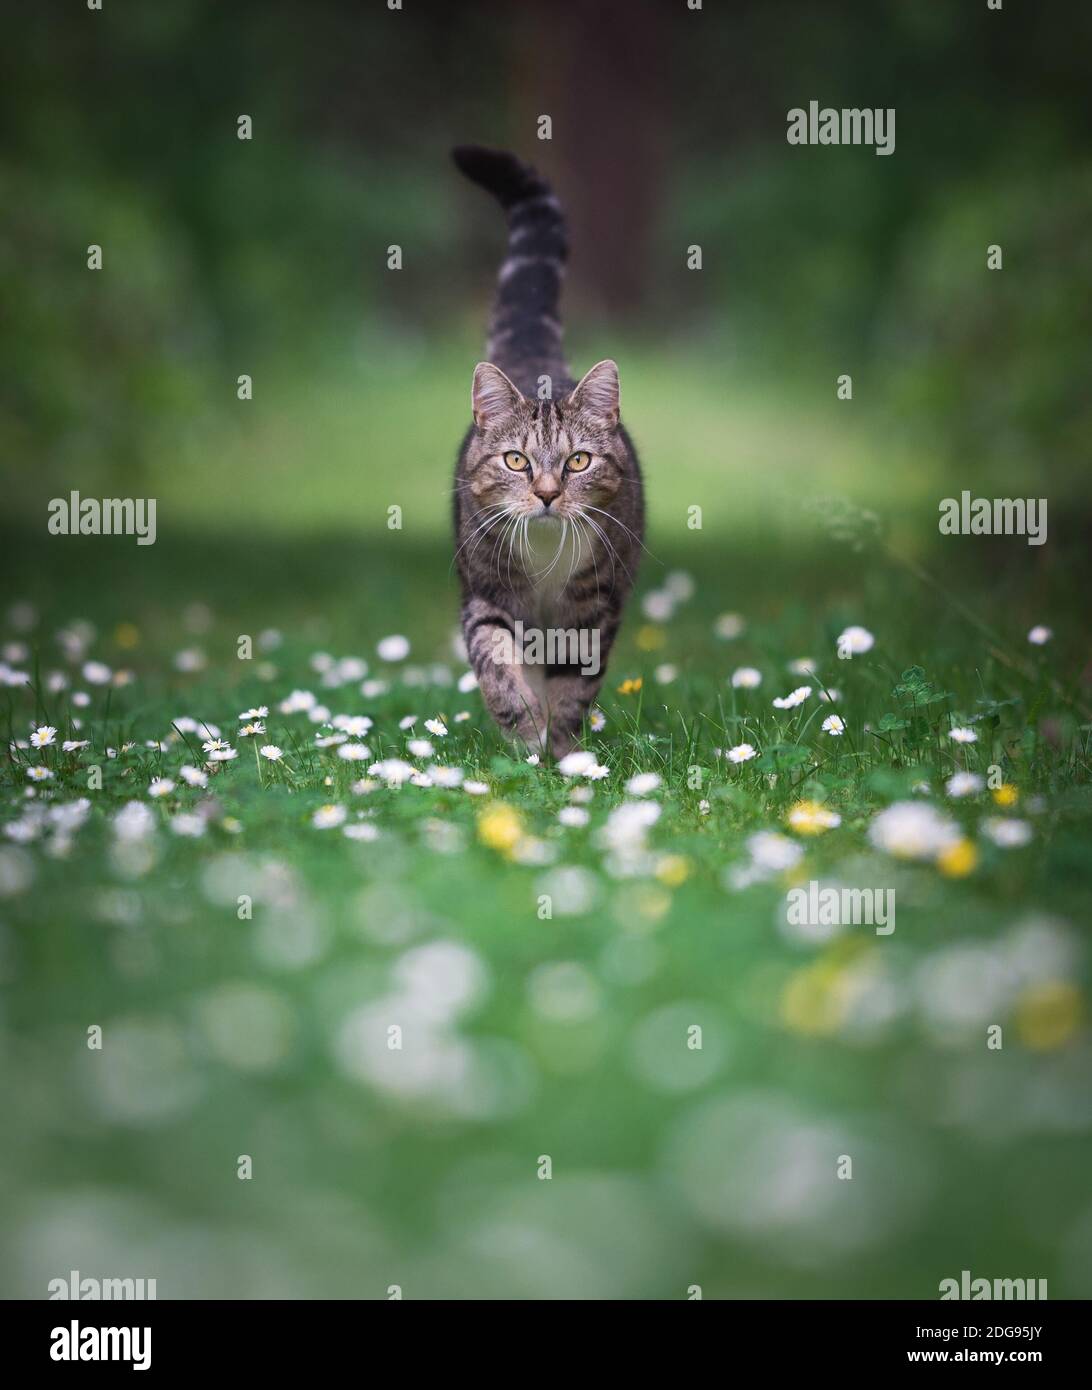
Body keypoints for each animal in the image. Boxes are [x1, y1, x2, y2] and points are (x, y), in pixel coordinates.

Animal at [450, 146, 641, 761]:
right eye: (516, 461)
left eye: (578, 461)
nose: (549, 494)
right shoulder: (485, 592)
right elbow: (494, 662)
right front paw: (524, 729)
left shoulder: (594, 607)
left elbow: (575, 686)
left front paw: (560, 748)